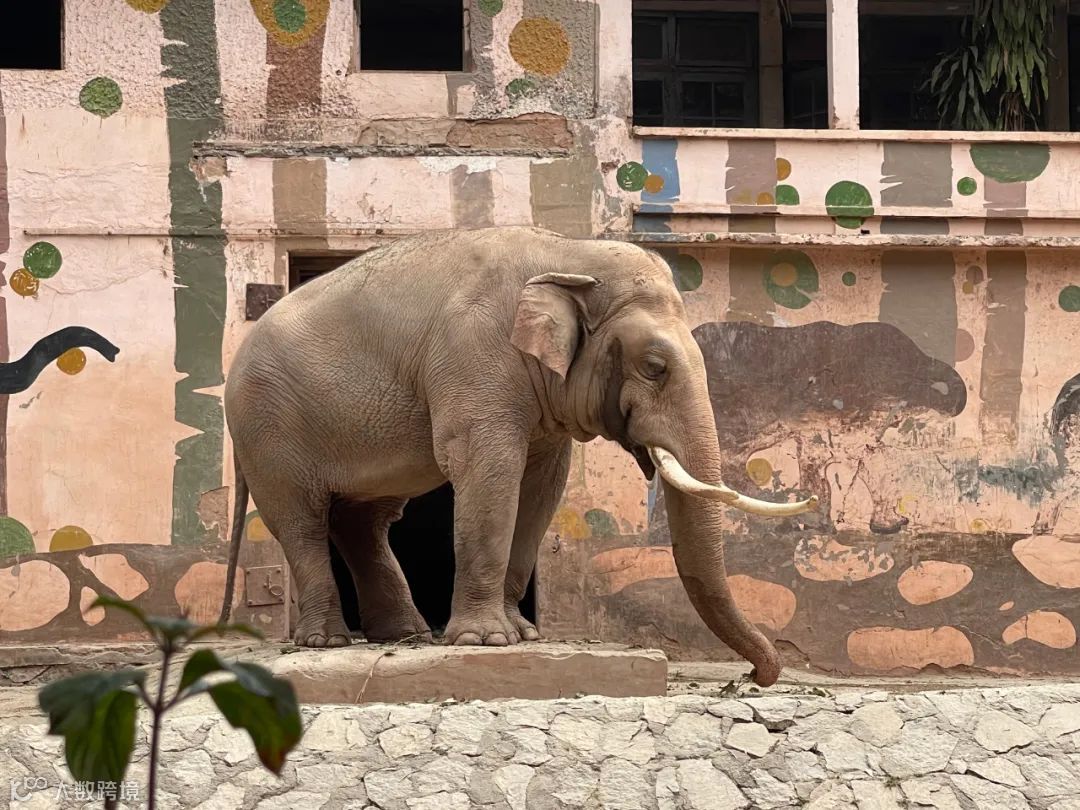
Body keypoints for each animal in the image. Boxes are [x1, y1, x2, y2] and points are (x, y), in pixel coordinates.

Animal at [218, 226, 816, 687]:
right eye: (654, 367)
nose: (753, 676)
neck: (569, 255)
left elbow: (542, 488)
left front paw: (522, 635)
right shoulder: (474, 356)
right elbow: (489, 472)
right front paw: (484, 640)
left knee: (364, 520)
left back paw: (406, 633)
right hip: (266, 428)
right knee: (302, 521)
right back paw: (326, 642)